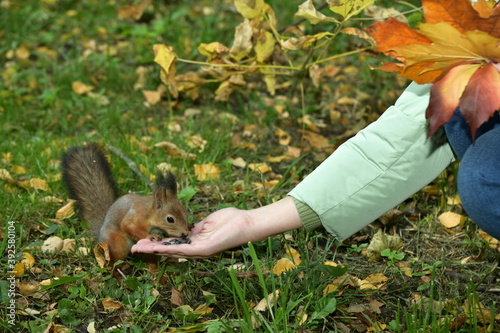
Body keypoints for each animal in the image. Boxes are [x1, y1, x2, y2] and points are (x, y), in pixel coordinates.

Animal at [61, 144, 189, 268]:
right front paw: (149, 236)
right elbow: (128, 226)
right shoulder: (136, 215)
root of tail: (101, 235)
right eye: (170, 219)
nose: (185, 233)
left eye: (185, 212)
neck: (150, 213)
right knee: (114, 261)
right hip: (117, 243)